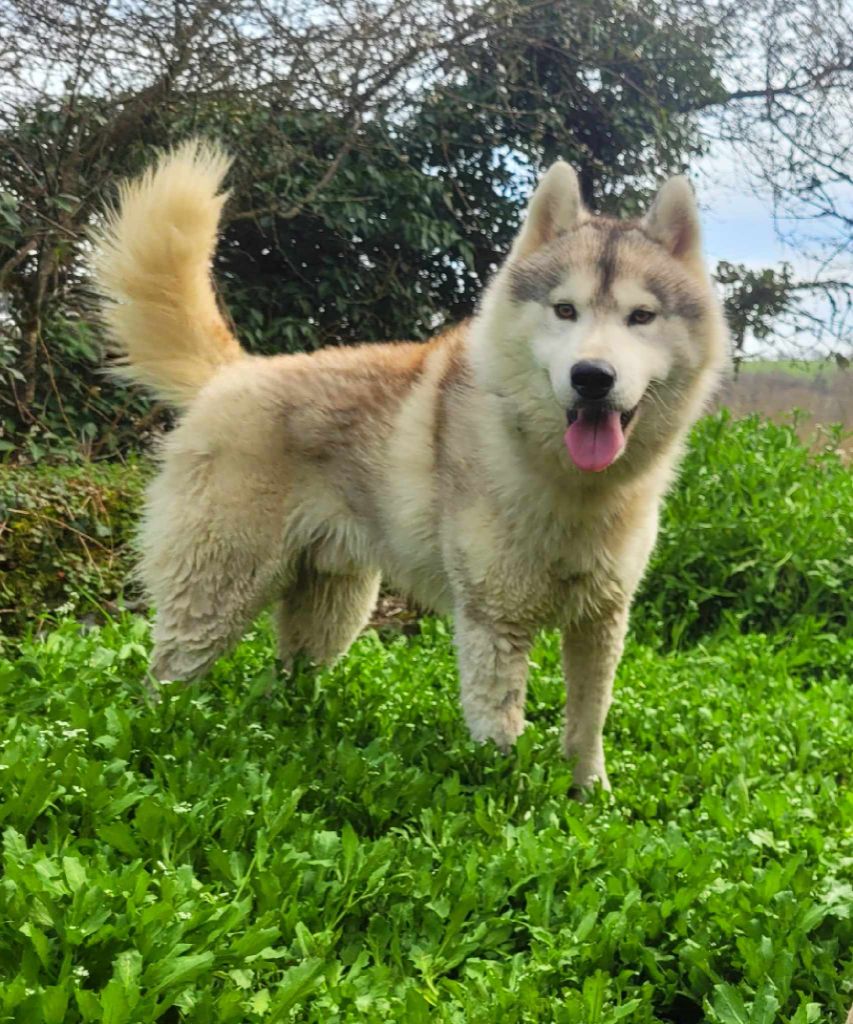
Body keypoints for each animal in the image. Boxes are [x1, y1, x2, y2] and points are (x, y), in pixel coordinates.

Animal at [95, 141, 729, 790]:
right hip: (216, 593)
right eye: (565, 310)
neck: (570, 485)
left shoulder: (602, 618)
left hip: (332, 610)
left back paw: (288, 732)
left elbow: (588, 721)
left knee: (286, 677)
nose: (592, 376)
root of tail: (234, 373)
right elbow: (501, 731)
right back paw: (167, 739)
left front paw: (588, 794)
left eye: (641, 317)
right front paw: (509, 801)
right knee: (165, 675)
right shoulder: (494, 623)